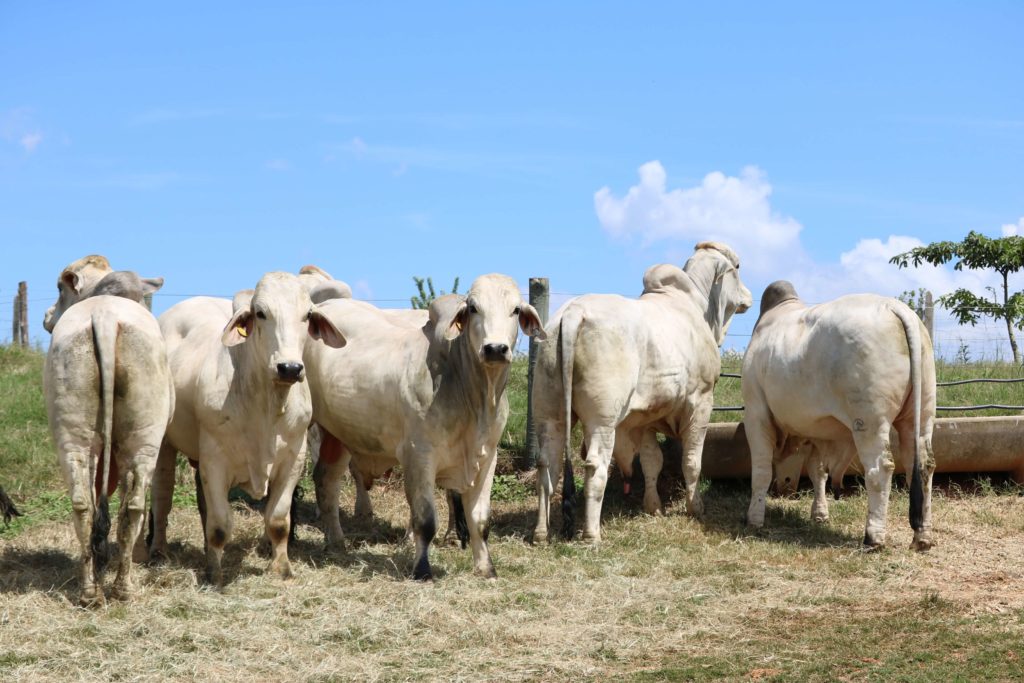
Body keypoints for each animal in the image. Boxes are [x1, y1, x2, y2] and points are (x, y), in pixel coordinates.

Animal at [43, 259, 172, 606]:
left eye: (59, 289)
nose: (47, 316)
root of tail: (104, 315)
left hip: (73, 433)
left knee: (84, 503)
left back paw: (91, 589)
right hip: (145, 439)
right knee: (133, 504)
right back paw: (123, 587)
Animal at [146, 270, 344, 581]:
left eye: (307, 315)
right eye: (261, 313)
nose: (289, 368)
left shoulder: (293, 460)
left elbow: (278, 520)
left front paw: (282, 568)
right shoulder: (214, 460)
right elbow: (219, 525)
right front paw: (214, 572)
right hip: (165, 442)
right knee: (162, 495)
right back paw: (158, 550)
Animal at [303, 274, 544, 581]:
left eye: (515, 309)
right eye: (474, 308)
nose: (495, 349)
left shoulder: (487, 457)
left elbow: (480, 520)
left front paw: (486, 569)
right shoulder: (419, 455)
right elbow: (426, 520)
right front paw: (421, 569)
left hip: (339, 434)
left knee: (326, 479)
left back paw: (336, 543)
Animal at [532, 242, 749, 540]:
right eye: (737, 267)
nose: (748, 297)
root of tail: (574, 312)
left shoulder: (644, 417)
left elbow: (651, 461)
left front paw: (653, 507)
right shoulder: (702, 402)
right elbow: (692, 461)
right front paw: (695, 508)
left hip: (549, 414)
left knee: (547, 466)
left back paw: (541, 533)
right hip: (602, 419)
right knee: (595, 465)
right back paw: (592, 534)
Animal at [741, 282, 937, 548]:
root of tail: (895, 307)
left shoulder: (756, 412)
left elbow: (761, 471)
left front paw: (754, 518)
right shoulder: (816, 429)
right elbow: (818, 471)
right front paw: (819, 514)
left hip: (870, 420)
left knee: (880, 468)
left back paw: (873, 537)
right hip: (922, 414)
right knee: (923, 465)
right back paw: (922, 536)